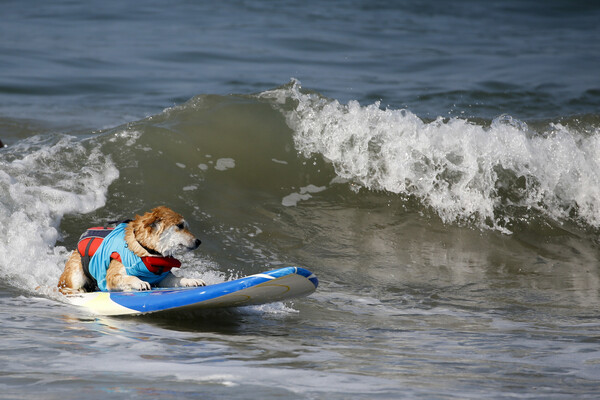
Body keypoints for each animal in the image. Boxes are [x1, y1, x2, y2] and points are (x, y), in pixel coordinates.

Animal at [57, 206, 205, 294]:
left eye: (186, 226)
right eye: (180, 226)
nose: (199, 241)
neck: (146, 251)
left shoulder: (163, 278)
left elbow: (178, 278)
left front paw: (192, 280)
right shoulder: (111, 276)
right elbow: (130, 276)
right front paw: (139, 282)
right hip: (75, 275)